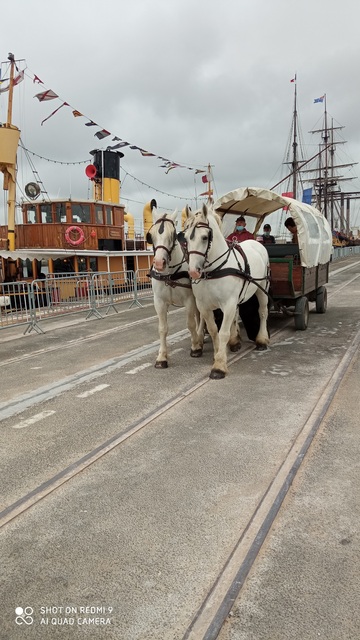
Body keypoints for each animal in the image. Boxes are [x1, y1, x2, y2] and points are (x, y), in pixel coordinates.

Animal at [146, 209, 202, 368]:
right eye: (151, 236)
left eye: (172, 235)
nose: (159, 263)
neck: (169, 274)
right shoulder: (159, 302)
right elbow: (162, 329)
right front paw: (162, 357)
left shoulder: (189, 299)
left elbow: (190, 324)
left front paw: (195, 347)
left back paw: (200, 338)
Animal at [181, 204, 268, 380]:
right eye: (185, 238)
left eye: (205, 237)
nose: (193, 271)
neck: (214, 270)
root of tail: (257, 243)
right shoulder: (204, 306)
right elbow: (214, 331)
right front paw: (218, 354)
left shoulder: (228, 304)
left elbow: (223, 333)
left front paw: (219, 366)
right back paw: (235, 341)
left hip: (262, 288)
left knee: (262, 312)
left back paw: (262, 339)